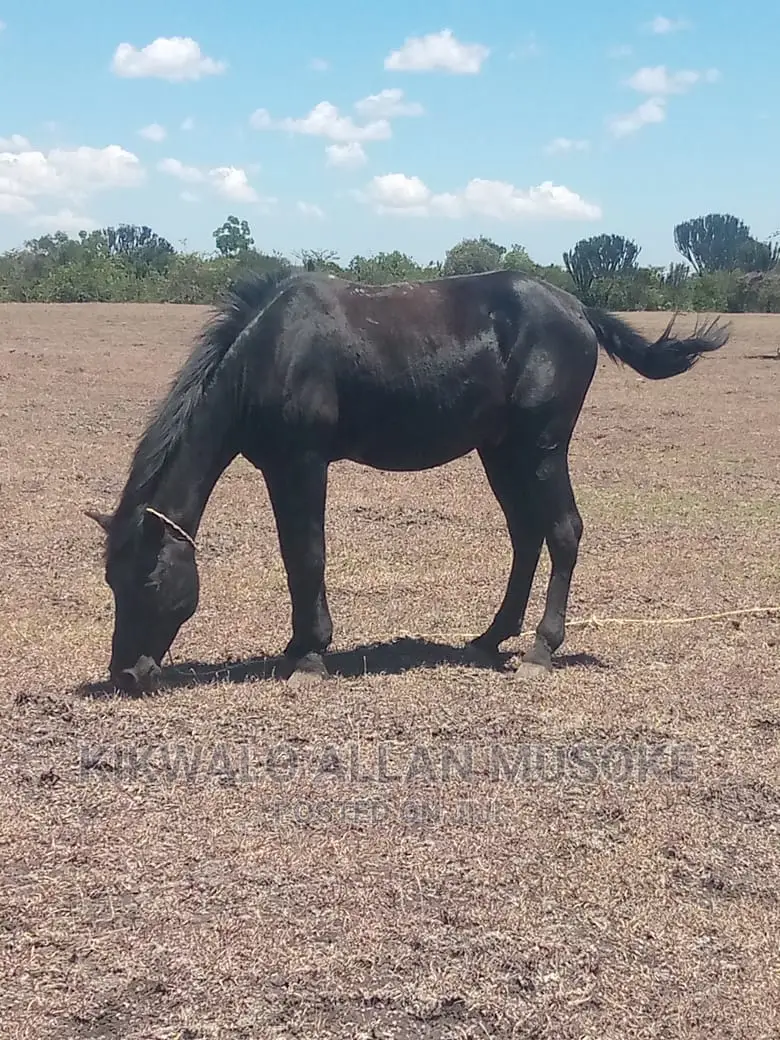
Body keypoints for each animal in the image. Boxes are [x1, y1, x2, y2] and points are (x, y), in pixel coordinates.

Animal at [85, 267, 729, 692]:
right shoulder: (278, 467)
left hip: (542, 448)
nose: (125, 673)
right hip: (502, 452)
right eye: (112, 582)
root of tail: (577, 309)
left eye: (148, 580)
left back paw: (541, 648)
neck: (273, 351)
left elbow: (307, 555)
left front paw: (310, 656)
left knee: (563, 531)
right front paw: (297, 648)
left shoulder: (303, 463)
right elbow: (296, 557)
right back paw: (490, 638)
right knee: (527, 536)